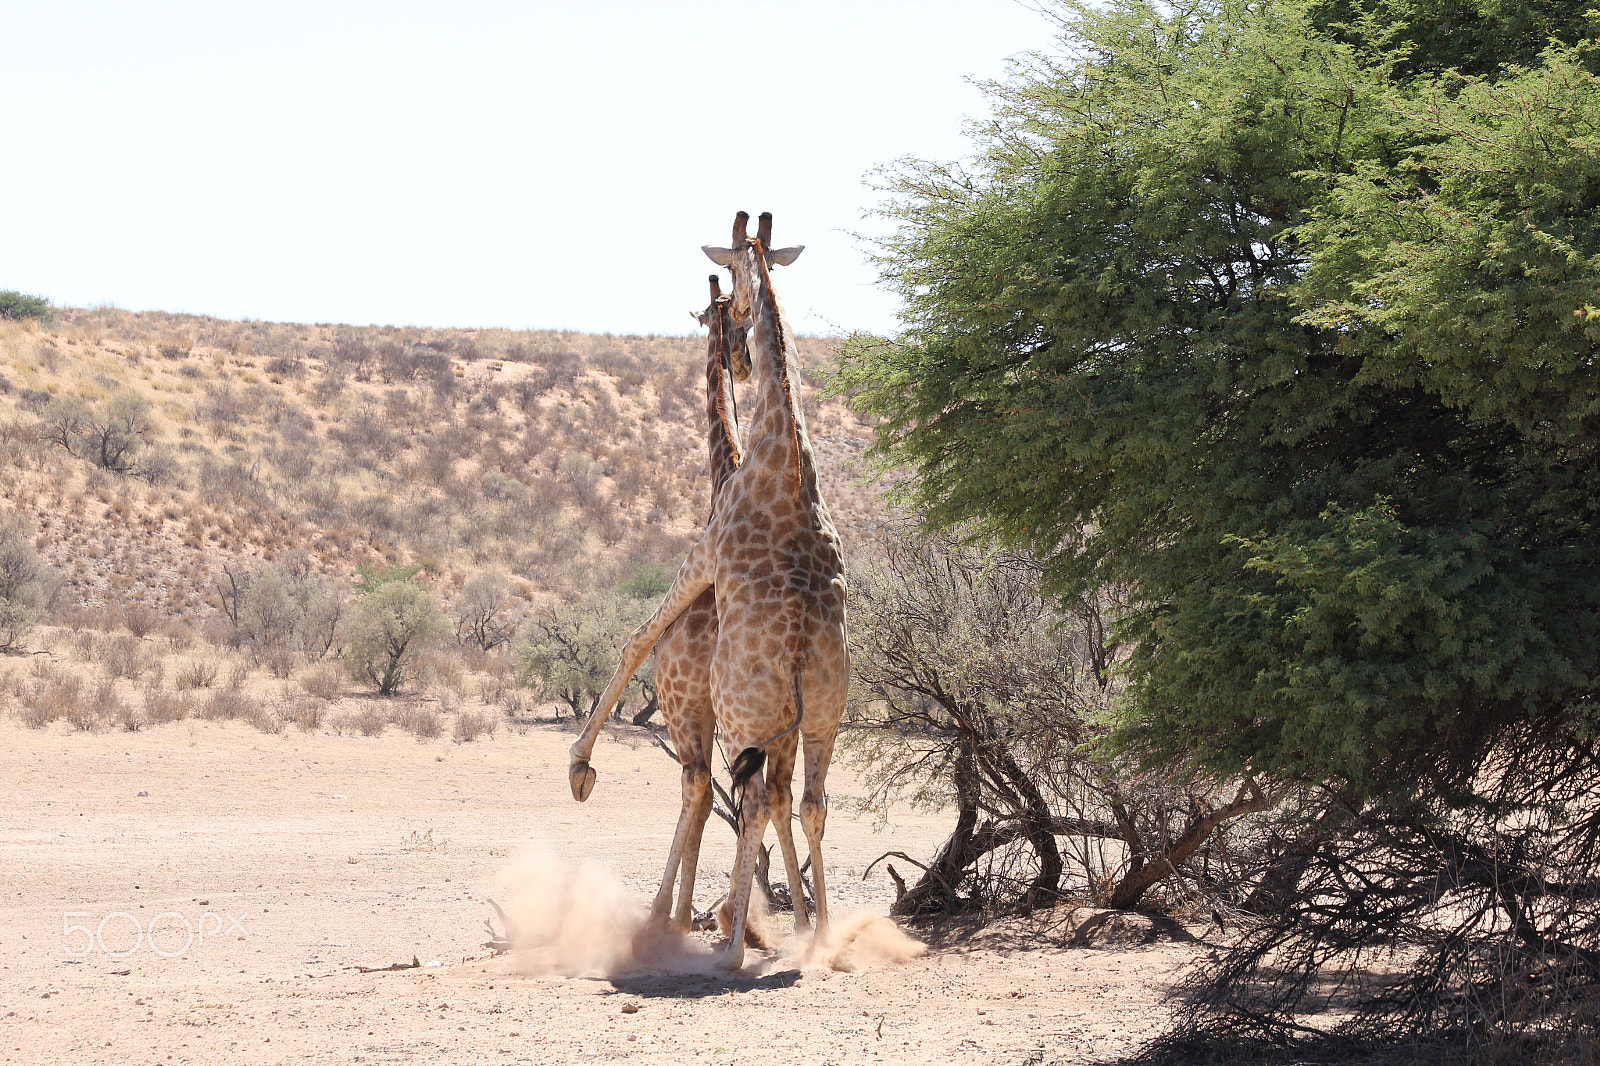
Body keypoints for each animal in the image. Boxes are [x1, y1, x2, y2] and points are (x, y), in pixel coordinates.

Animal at [568, 212, 845, 969]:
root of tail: (800, 666)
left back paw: (725, 944)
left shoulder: (706, 552)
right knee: (804, 801)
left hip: (742, 719)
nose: (742, 355)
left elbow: (636, 638)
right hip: (822, 719)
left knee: (739, 797)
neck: (779, 446)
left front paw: (579, 767)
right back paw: (814, 935)